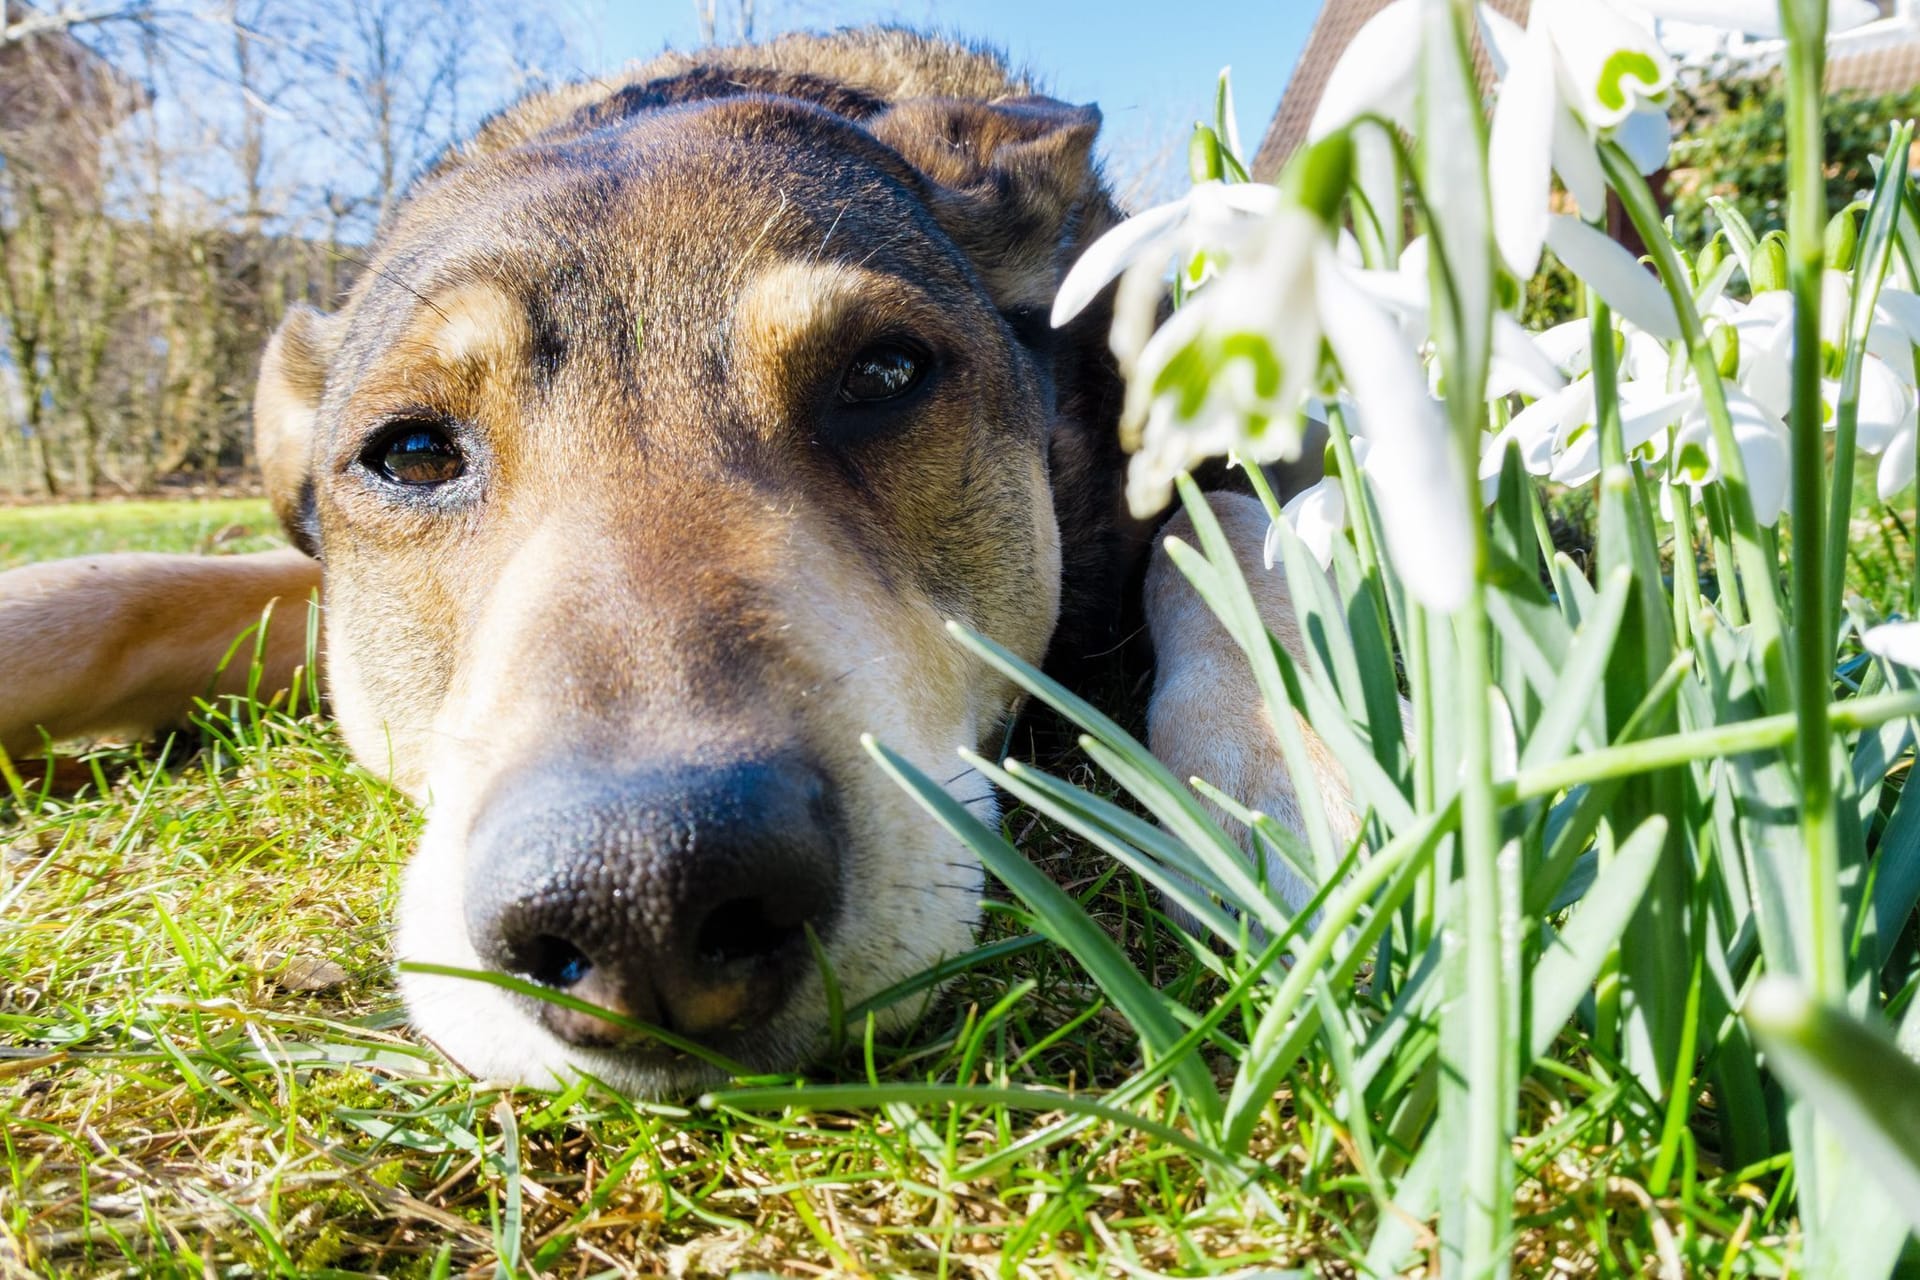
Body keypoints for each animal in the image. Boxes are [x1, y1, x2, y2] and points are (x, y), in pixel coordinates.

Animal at [0, 27, 1351, 1090]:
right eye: (412, 451)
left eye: (884, 373)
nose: (645, 894)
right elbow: (120, 587)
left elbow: (1230, 535)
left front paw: (1295, 768)